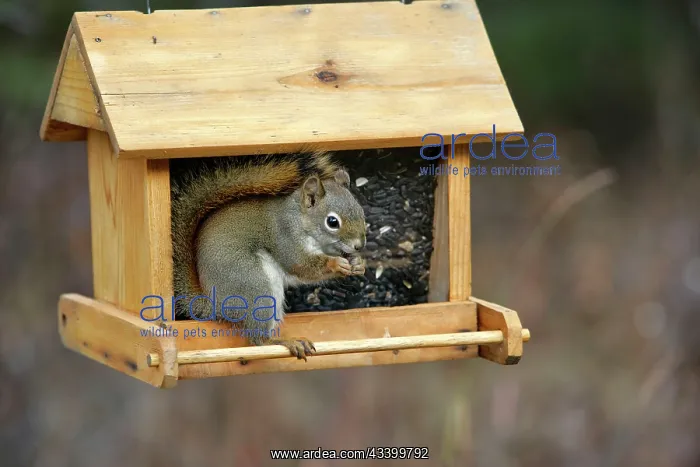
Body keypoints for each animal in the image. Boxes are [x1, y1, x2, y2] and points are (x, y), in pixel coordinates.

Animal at [171, 150, 367, 360]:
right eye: (332, 222)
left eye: (361, 212)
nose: (359, 245)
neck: (300, 221)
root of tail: (217, 306)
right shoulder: (285, 238)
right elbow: (301, 266)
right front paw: (336, 264)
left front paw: (358, 263)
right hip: (254, 286)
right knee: (257, 340)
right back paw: (284, 342)